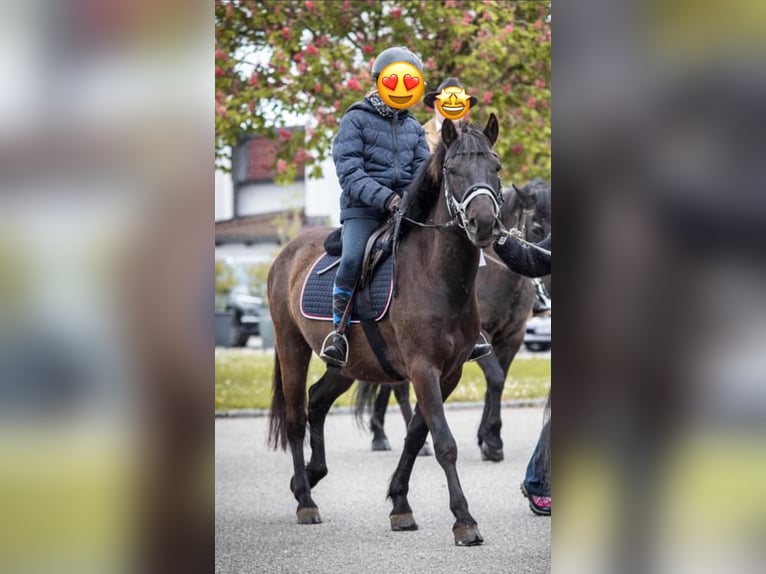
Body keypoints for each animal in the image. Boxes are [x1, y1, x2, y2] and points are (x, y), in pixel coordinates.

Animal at [268, 113, 508, 548]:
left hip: (347, 366)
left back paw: (308, 477)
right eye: (452, 170)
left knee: (317, 402)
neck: (436, 277)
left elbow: (416, 436)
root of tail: (287, 252)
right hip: (291, 347)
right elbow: (444, 442)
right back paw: (306, 500)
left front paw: (400, 504)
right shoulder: (423, 369)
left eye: (495, 167)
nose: (483, 224)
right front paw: (464, 520)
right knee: (295, 417)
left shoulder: (447, 373)